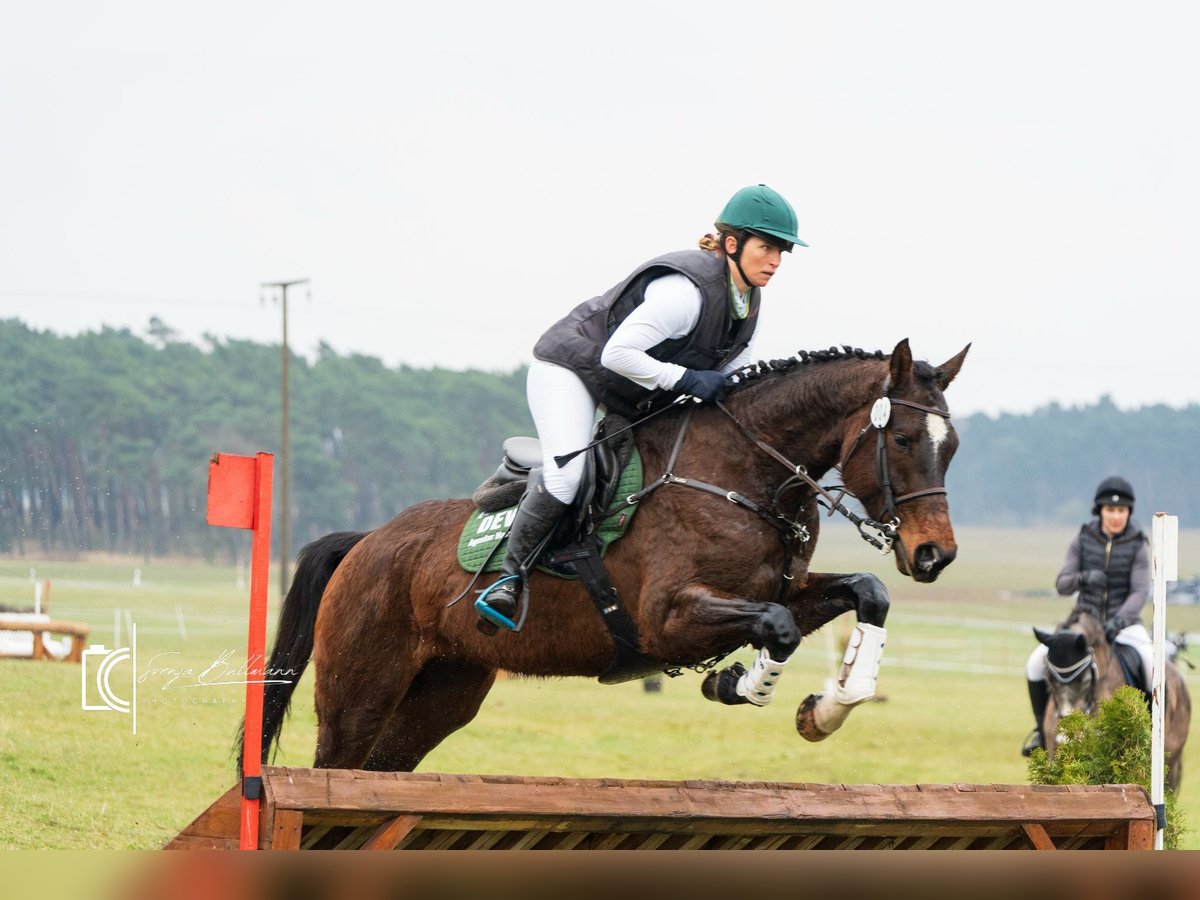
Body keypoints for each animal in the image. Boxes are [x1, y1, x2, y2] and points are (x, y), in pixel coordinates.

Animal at [250, 339, 970, 774]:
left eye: (953, 445)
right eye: (903, 439)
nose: (934, 554)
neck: (744, 472)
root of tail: (366, 541)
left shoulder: (782, 587)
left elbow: (864, 592)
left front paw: (828, 708)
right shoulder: (669, 618)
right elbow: (779, 627)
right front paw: (739, 684)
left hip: (442, 694)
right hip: (360, 689)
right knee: (334, 769)